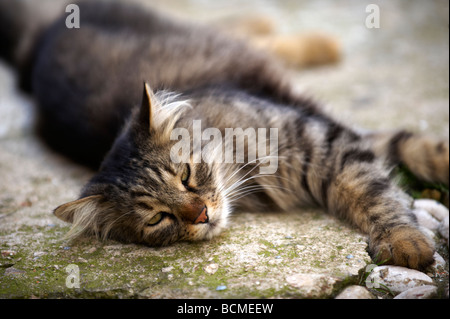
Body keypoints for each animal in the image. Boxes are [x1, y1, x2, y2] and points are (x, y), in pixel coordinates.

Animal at [1, 0, 448, 272]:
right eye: (158, 219)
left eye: (185, 175)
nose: (201, 214)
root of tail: (34, 47)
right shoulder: (337, 139)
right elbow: (388, 164)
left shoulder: (322, 140)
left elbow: (382, 183)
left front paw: (405, 240)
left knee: (243, 31)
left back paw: (309, 38)